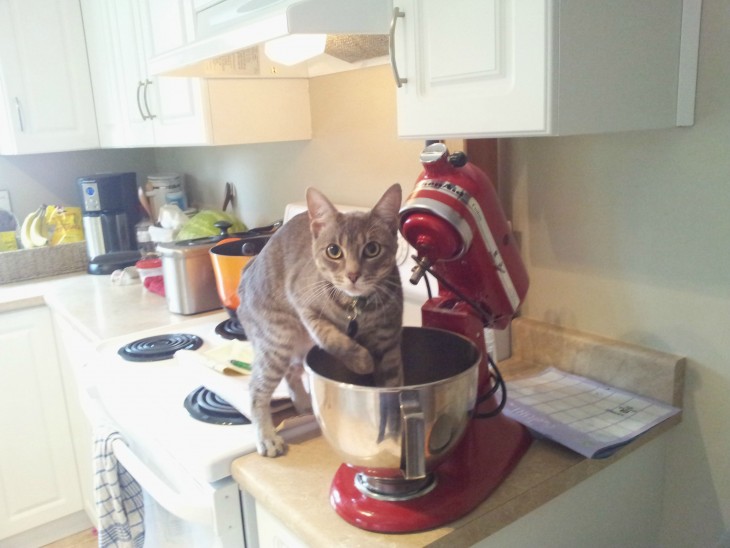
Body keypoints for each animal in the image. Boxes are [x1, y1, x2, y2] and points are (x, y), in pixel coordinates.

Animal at [236, 185, 404, 458]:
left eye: (372, 249)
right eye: (334, 251)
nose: (353, 275)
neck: (355, 307)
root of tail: (246, 273)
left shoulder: (389, 345)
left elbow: (392, 392)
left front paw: (393, 435)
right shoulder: (304, 306)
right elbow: (333, 338)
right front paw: (362, 361)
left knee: (291, 372)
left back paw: (303, 403)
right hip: (278, 339)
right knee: (257, 389)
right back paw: (267, 437)